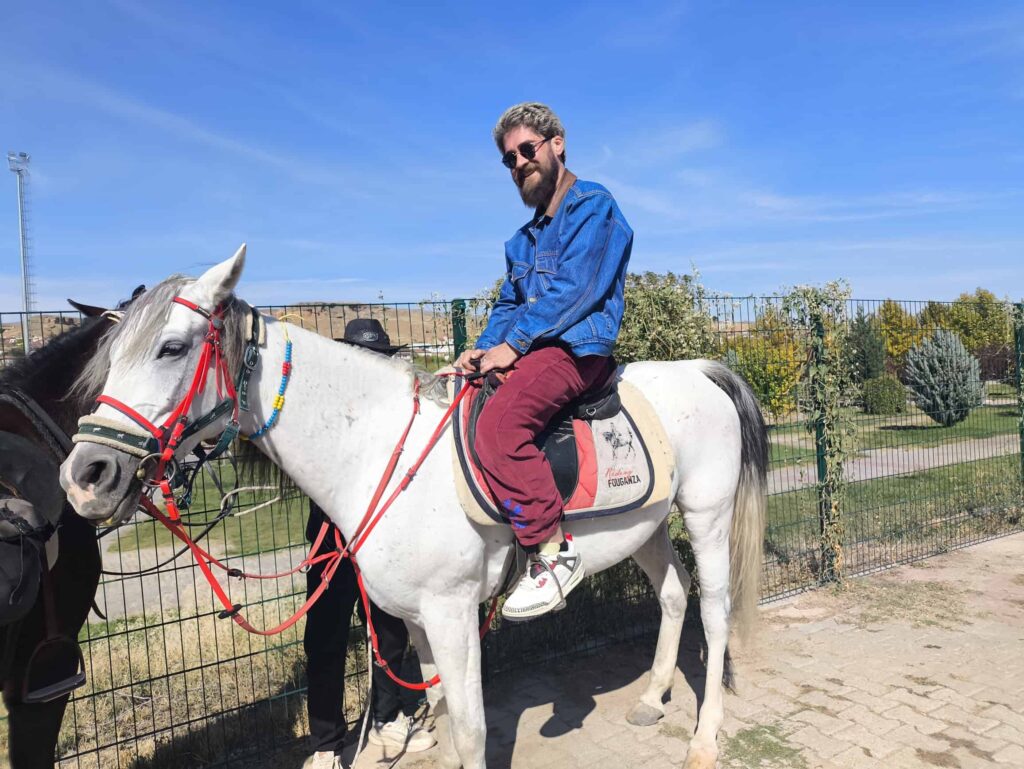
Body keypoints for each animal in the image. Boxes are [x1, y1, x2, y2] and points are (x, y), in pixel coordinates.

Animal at [59, 247, 768, 769]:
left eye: (172, 348)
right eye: (108, 358)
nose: (85, 475)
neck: (378, 452)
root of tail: (701, 369)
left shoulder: (453, 614)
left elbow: (474, 729)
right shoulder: (421, 620)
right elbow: (448, 713)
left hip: (705, 516)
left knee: (713, 610)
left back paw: (705, 736)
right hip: (644, 529)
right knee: (673, 595)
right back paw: (652, 697)